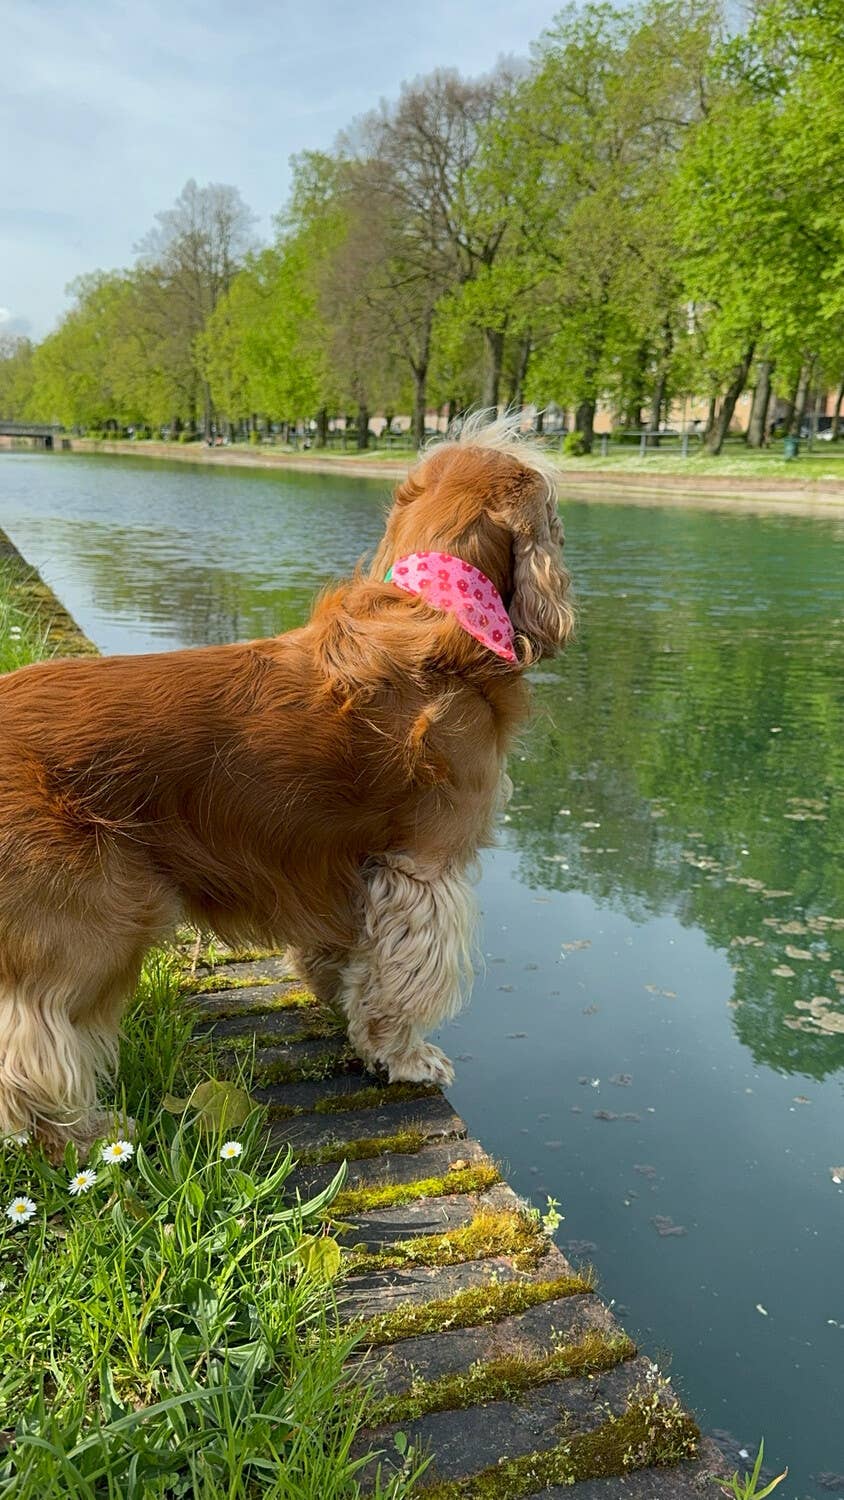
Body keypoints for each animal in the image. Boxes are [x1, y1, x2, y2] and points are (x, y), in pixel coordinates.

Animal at [0, 417, 575, 1152]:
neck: (436, 612)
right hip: (94, 919)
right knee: (30, 1051)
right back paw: (87, 1136)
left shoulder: (345, 865)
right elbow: (405, 979)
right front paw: (403, 1055)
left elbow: (352, 958)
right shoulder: (425, 867)